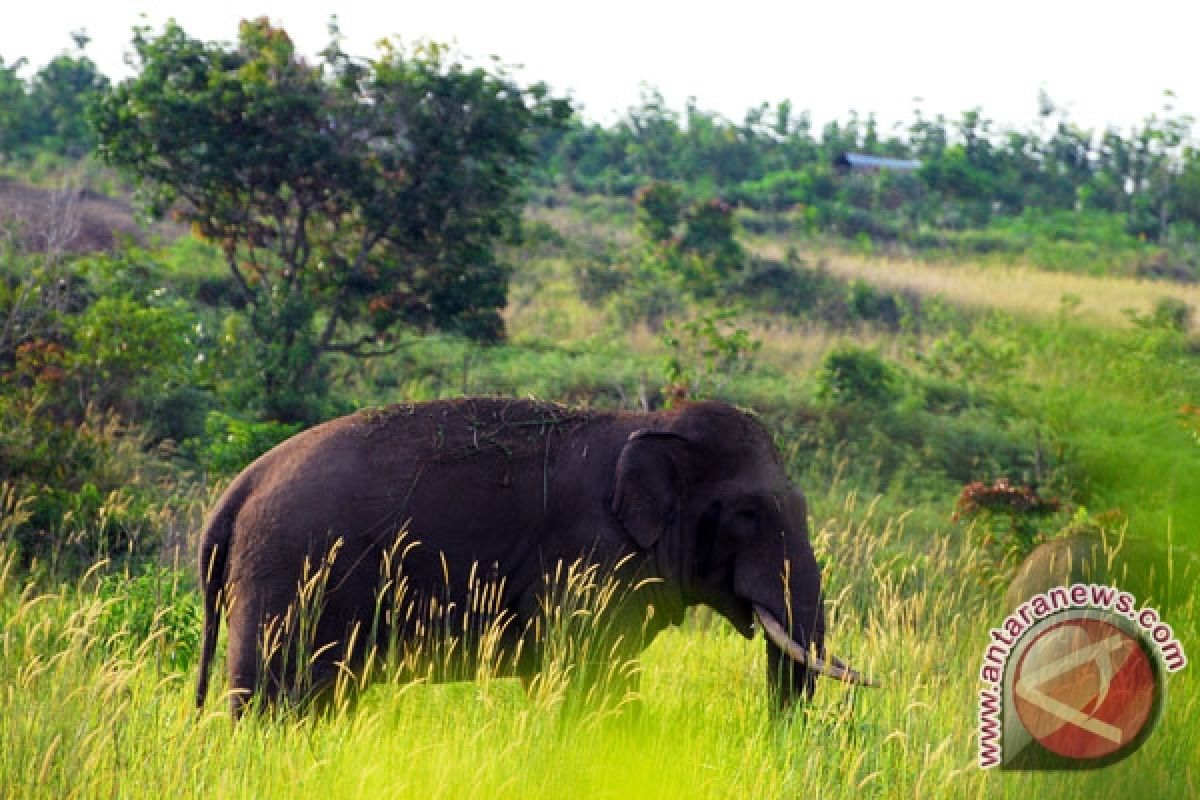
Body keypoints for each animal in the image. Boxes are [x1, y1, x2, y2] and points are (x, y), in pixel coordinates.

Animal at [194, 398, 873, 714]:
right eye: (749, 514)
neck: (650, 421)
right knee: (277, 701)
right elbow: (592, 673)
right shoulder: (588, 557)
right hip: (285, 577)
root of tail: (235, 493)